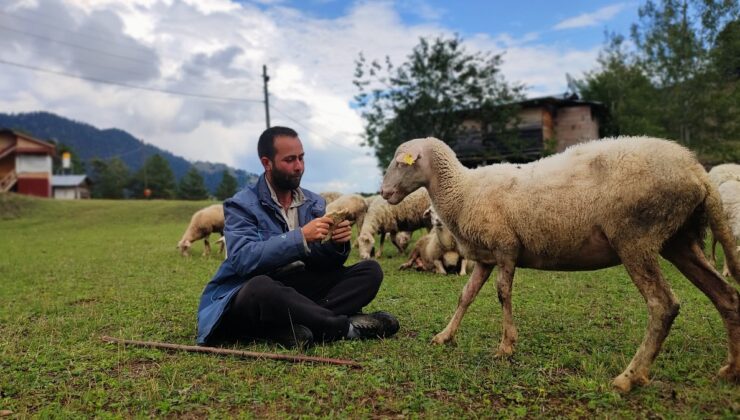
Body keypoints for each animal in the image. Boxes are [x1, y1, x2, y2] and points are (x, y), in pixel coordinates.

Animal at [382, 136, 740, 392]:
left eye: (402, 162)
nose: (384, 193)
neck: (461, 189)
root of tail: (696, 170)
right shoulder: (486, 257)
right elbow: (466, 296)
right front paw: (445, 336)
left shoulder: (506, 247)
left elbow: (502, 293)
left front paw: (506, 346)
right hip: (679, 240)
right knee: (726, 297)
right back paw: (730, 370)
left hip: (636, 238)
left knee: (663, 305)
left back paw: (629, 377)